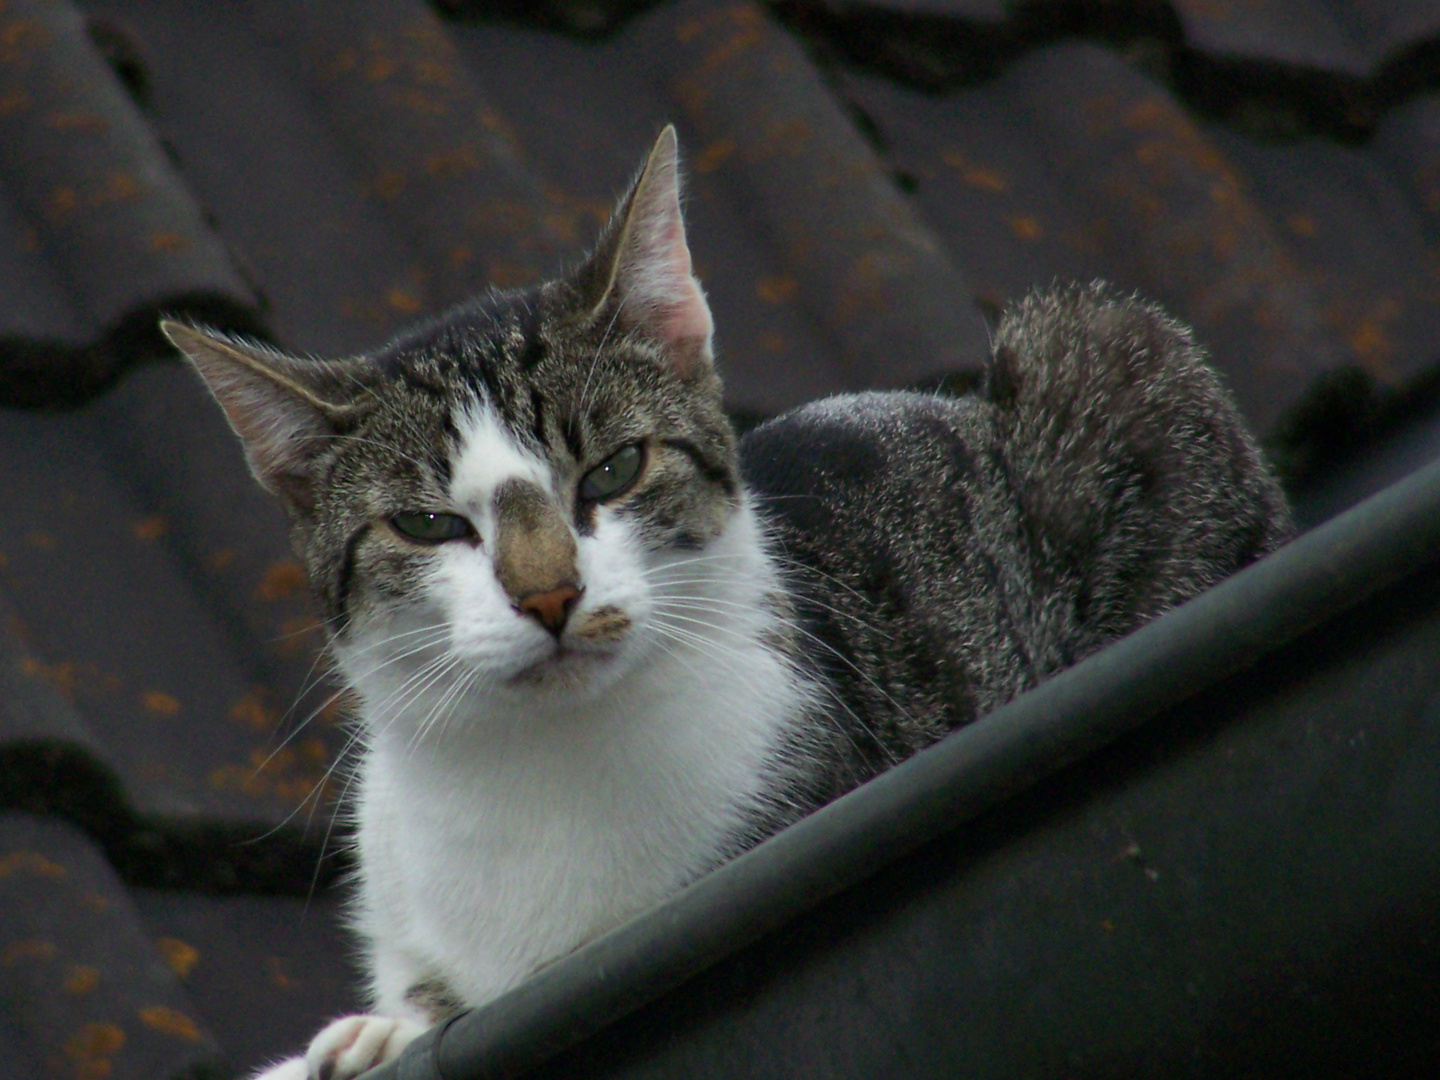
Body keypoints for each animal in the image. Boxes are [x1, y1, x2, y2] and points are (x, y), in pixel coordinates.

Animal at [163, 122, 1290, 1077]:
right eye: (432, 525)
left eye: (615, 469)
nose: (549, 592)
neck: (536, 771)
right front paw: (371, 1035)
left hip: (1106, 344)